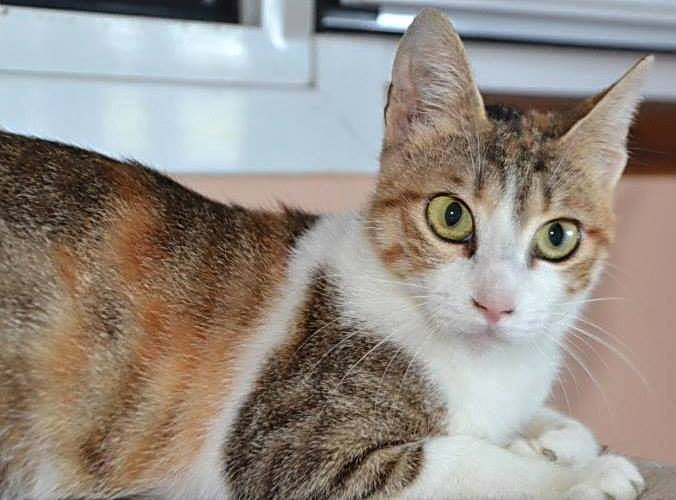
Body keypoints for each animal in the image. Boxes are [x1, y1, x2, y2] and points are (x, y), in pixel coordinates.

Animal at [0, 8, 653, 500]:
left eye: (557, 237)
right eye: (451, 216)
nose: (495, 304)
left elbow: (545, 426)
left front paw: (555, 438)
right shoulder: (286, 448)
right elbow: (461, 459)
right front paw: (577, 475)